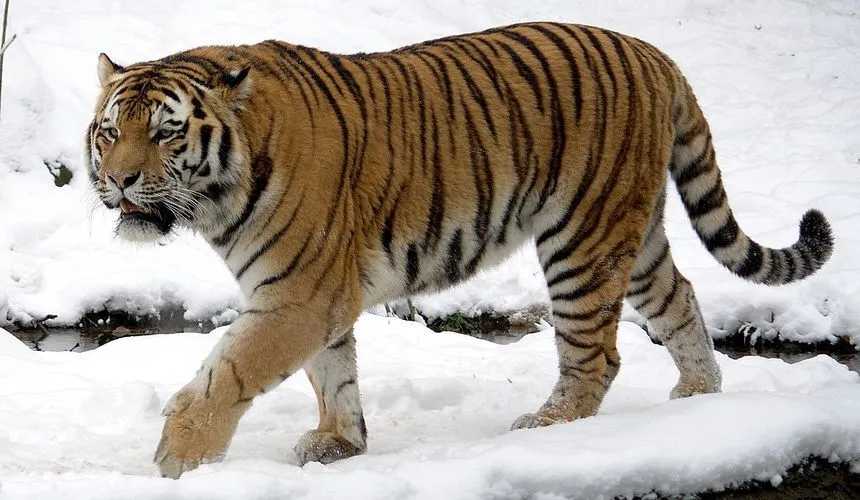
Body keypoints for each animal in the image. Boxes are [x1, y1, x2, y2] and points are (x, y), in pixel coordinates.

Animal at [86, 22, 834, 479]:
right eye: (110, 131)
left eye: (165, 133)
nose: (118, 180)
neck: (219, 195)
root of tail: (656, 54)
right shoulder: (313, 294)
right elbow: (333, 373)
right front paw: (340, 442)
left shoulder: (299, 294)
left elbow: (230, 372)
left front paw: (176, 460)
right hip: (634, 231)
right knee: (678, 297)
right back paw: (697, 398)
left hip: (582, 239)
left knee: (597, 353)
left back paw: (548, 427)